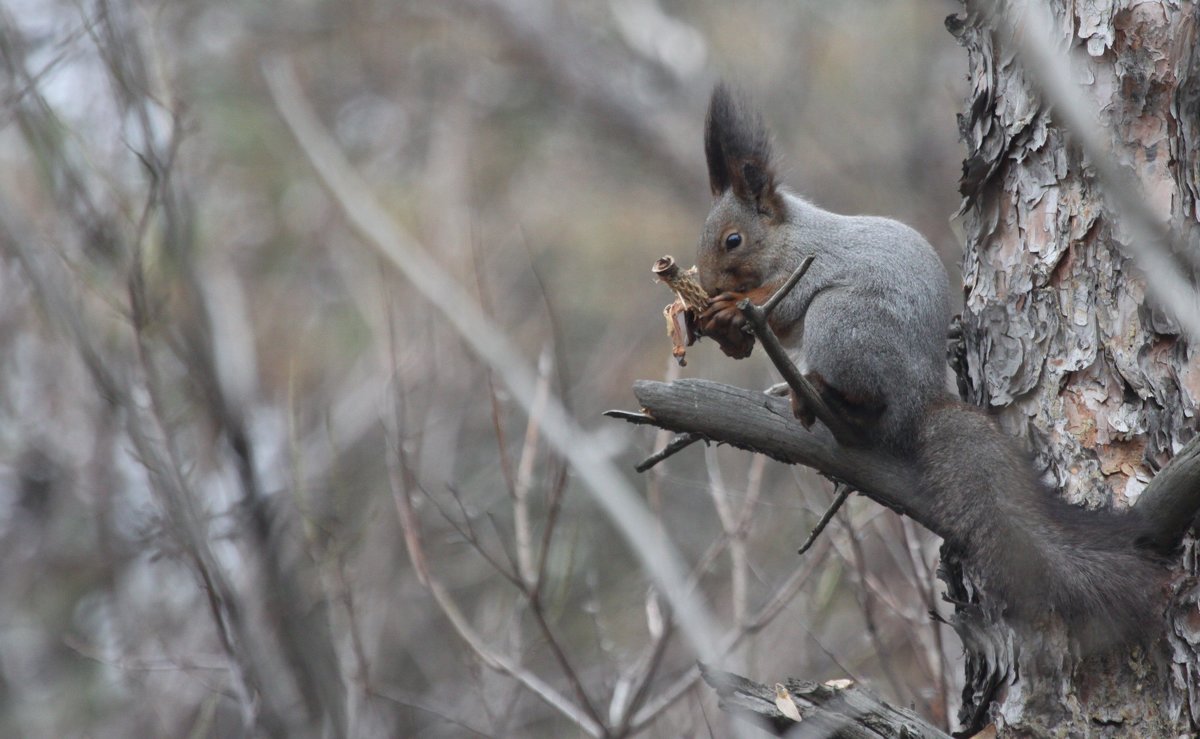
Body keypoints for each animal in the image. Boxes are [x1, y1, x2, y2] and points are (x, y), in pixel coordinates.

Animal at [696, 83, 1161, 643]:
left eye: (733, 241)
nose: (707, 285)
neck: (788, 236)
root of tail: (920, 397)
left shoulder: (807, 268)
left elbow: (779, 305)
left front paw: (731, 308)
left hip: (841, 323)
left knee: (867, 398)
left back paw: (826, 396)